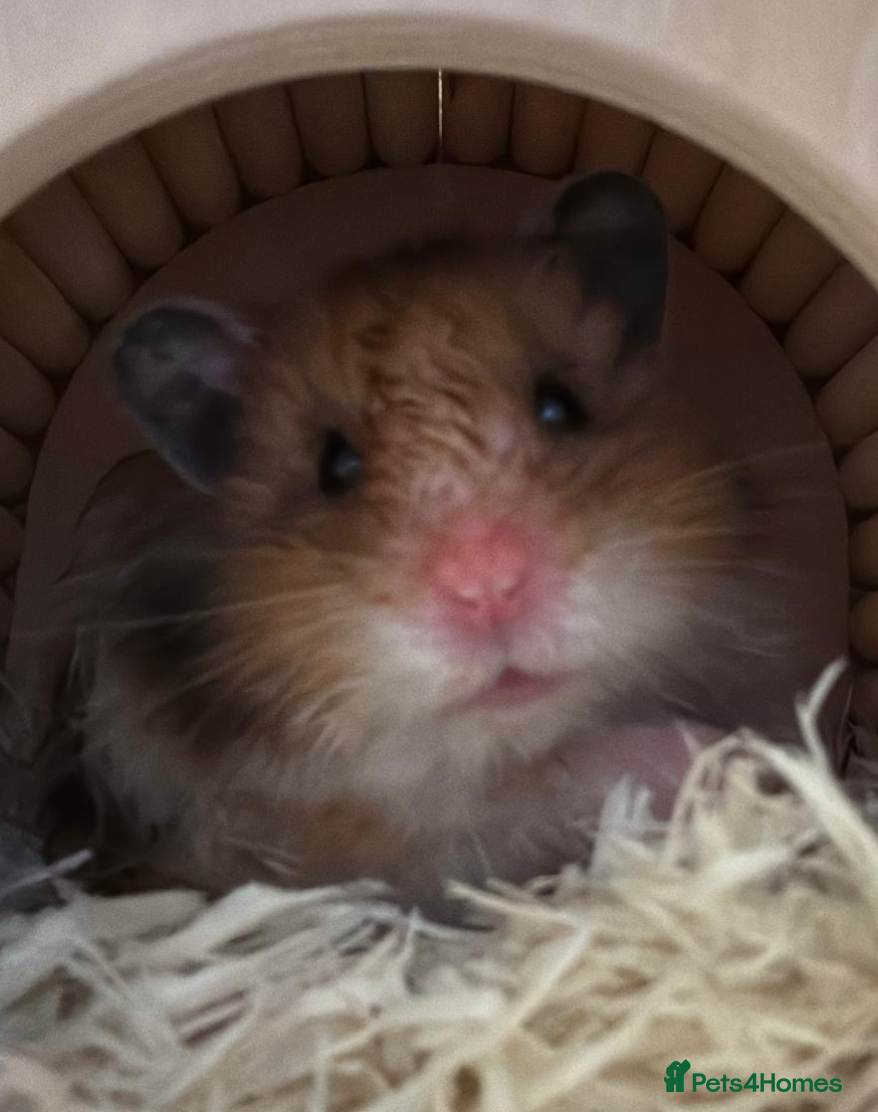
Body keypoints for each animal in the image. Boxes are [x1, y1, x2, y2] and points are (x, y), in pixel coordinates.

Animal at [53, 173, 837, 912]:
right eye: (334, 468)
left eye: (560, 405)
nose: (486, 586)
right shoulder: (369, 837)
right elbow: (569, 777)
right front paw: (729, 757)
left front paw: (760, 761)